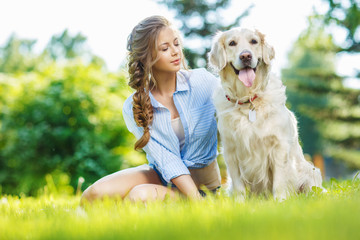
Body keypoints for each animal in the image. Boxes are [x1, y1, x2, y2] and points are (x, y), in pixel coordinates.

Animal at [208, 28, 324, 201]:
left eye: (254, 41)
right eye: (232, 43)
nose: (246, 56)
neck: (249, 101)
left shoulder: (279, 145)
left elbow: (279, 181)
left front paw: (280, 201)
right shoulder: (230, 149)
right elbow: (238, 184)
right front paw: (239, 203)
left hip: (311, 171)